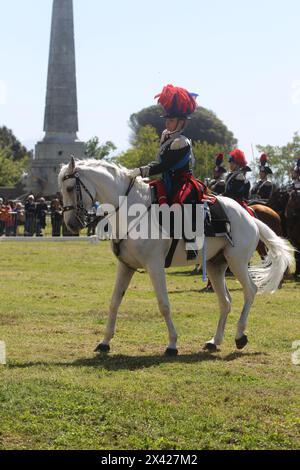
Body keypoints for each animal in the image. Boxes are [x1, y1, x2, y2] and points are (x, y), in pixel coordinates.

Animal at [58, 158, 292, 356]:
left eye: (69, 188)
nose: (71, 224)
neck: (130, 211)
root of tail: (250, 216)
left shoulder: (154, 265)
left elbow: (164, 304)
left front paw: (172, 344)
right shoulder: (125, 266)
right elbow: (114, 302)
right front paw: (105, 342)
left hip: (238, 262)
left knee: (250, 291)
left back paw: (240, 336)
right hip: (215, 266)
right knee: (225, 302)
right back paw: (214, 341)